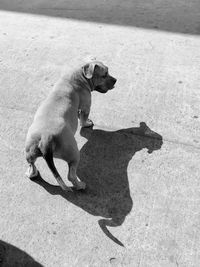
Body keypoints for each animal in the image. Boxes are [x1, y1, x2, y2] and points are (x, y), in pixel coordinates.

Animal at [24, 60, 117, 192]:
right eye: (104, 75)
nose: (116, 80)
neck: (80, 75)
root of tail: (46, 139)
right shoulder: (86, 107)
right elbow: (83, 119)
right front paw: (87, 123)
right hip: (74, 153)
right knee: (71, 176)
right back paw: (80, 186)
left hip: (30, 151)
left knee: (31, 164)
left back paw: (31, 173)